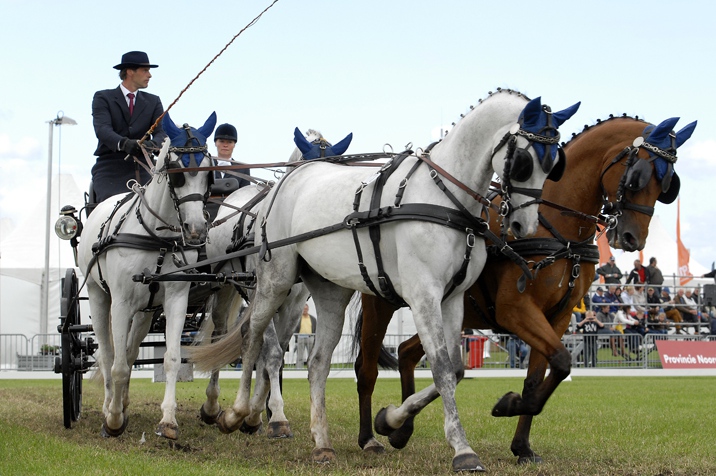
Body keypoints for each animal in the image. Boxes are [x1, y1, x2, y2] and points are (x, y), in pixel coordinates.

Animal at [78, 111, 217, 438]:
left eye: (209, 173)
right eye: (177, 172)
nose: (196, 230)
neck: (157, 237)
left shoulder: (176, 298)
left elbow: (170, 359)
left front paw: (168, 421)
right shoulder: (121, 303)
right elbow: (115, 364)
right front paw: (114, 419)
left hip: (145, 311)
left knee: (129, 352)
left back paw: (124, 401)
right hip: (99, 297)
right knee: (108, 354)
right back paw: (110, 406)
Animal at [200, 127, 352, 438]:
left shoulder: (293, 306)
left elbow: (277, 355)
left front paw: (257, 414)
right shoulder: (264, 293)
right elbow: (269, 352)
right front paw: (274, 416)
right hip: (226, 288)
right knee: (220, 334)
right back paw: (211, 406)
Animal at [356, 113, 696, 462]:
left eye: (667, 185)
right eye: (639, 177)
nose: (632, 238)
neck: (558, 230)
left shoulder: (556, 317)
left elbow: (540, 376)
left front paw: (521, 443)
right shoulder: (515, 310)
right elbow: (561, 360)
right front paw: (508, 406)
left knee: (407, 353)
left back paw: (399, 428)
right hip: (382, 303)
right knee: (366, 370)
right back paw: (370, 436)